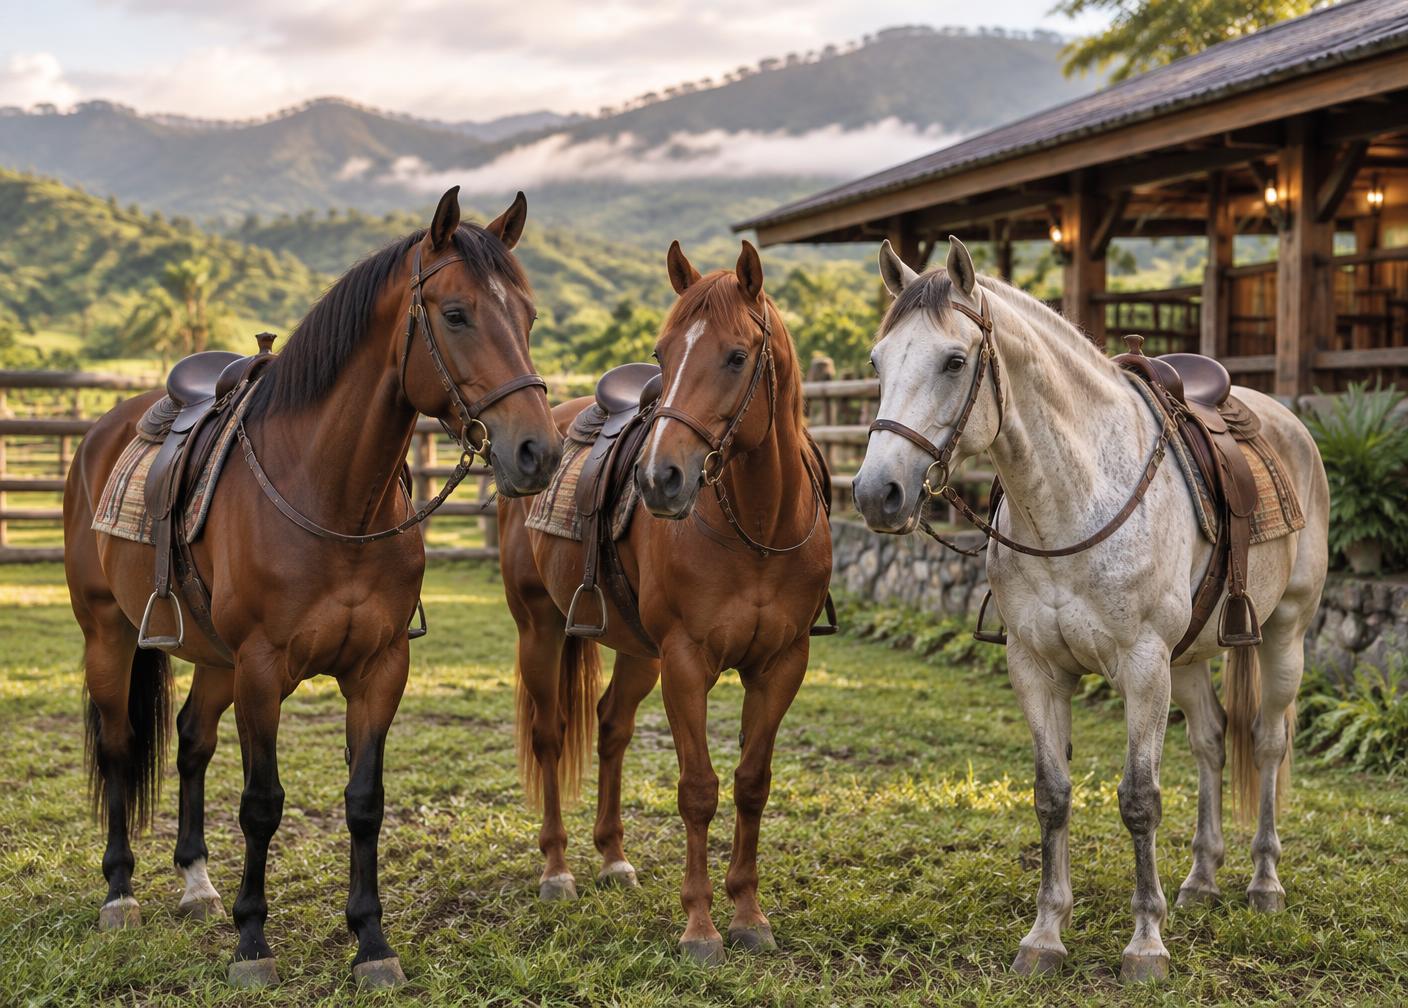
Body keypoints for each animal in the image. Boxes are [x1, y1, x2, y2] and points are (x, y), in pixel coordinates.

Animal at [62, 187, 560, 989]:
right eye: (456, 314)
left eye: (528, 316)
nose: (537, 452)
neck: (330, 496)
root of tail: (103, 432)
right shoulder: (264, 669)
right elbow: (262, 804)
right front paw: (252, 943)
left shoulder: (380, 667)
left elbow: (364, 802)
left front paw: (372, 942)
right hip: (109, 634)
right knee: (117, 745)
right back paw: (120, 893)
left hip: (215, 659)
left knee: (192, 741)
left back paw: (196, 885)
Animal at [497, 241, 833, 964]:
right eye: (663, 353)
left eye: (736, 356)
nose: (660, 478)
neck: (758, 526)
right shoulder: (686, 663)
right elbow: (699, 790)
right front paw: (701, 928)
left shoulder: (781, 665)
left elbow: (751, 783)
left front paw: (749, 915)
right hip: (540, 629)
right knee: (550, 734)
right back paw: (558, 870)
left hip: (636, 651)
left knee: (611, 727)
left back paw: (612, 859)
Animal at [852, 237, 1328, 982]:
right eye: (877, 363)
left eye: (955, 361)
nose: (878, 494)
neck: (1074, 498)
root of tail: (1288, 423)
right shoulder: (1037, 667)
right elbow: (1052, 796)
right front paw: (1046, 934)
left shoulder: (1142, 666)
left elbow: (1139, 800)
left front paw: (1146, 944)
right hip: (1189, 657)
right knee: (1212, 740)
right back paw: (1201, 880)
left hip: (1284, 633)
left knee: (1269, 742)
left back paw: (1264, 883)